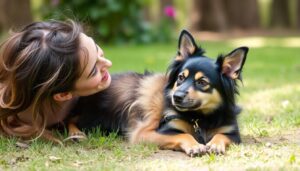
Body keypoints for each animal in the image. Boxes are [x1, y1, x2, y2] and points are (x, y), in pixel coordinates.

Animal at [68, 30, 248, 156]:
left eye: (202, 82)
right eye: (181, 78)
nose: (177, 97)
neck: (200, 117)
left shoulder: (232, 133)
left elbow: (221, 135)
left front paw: (215, 144)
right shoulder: (147, 133)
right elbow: (183, 135)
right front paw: (195, 146)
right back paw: (76, 133)